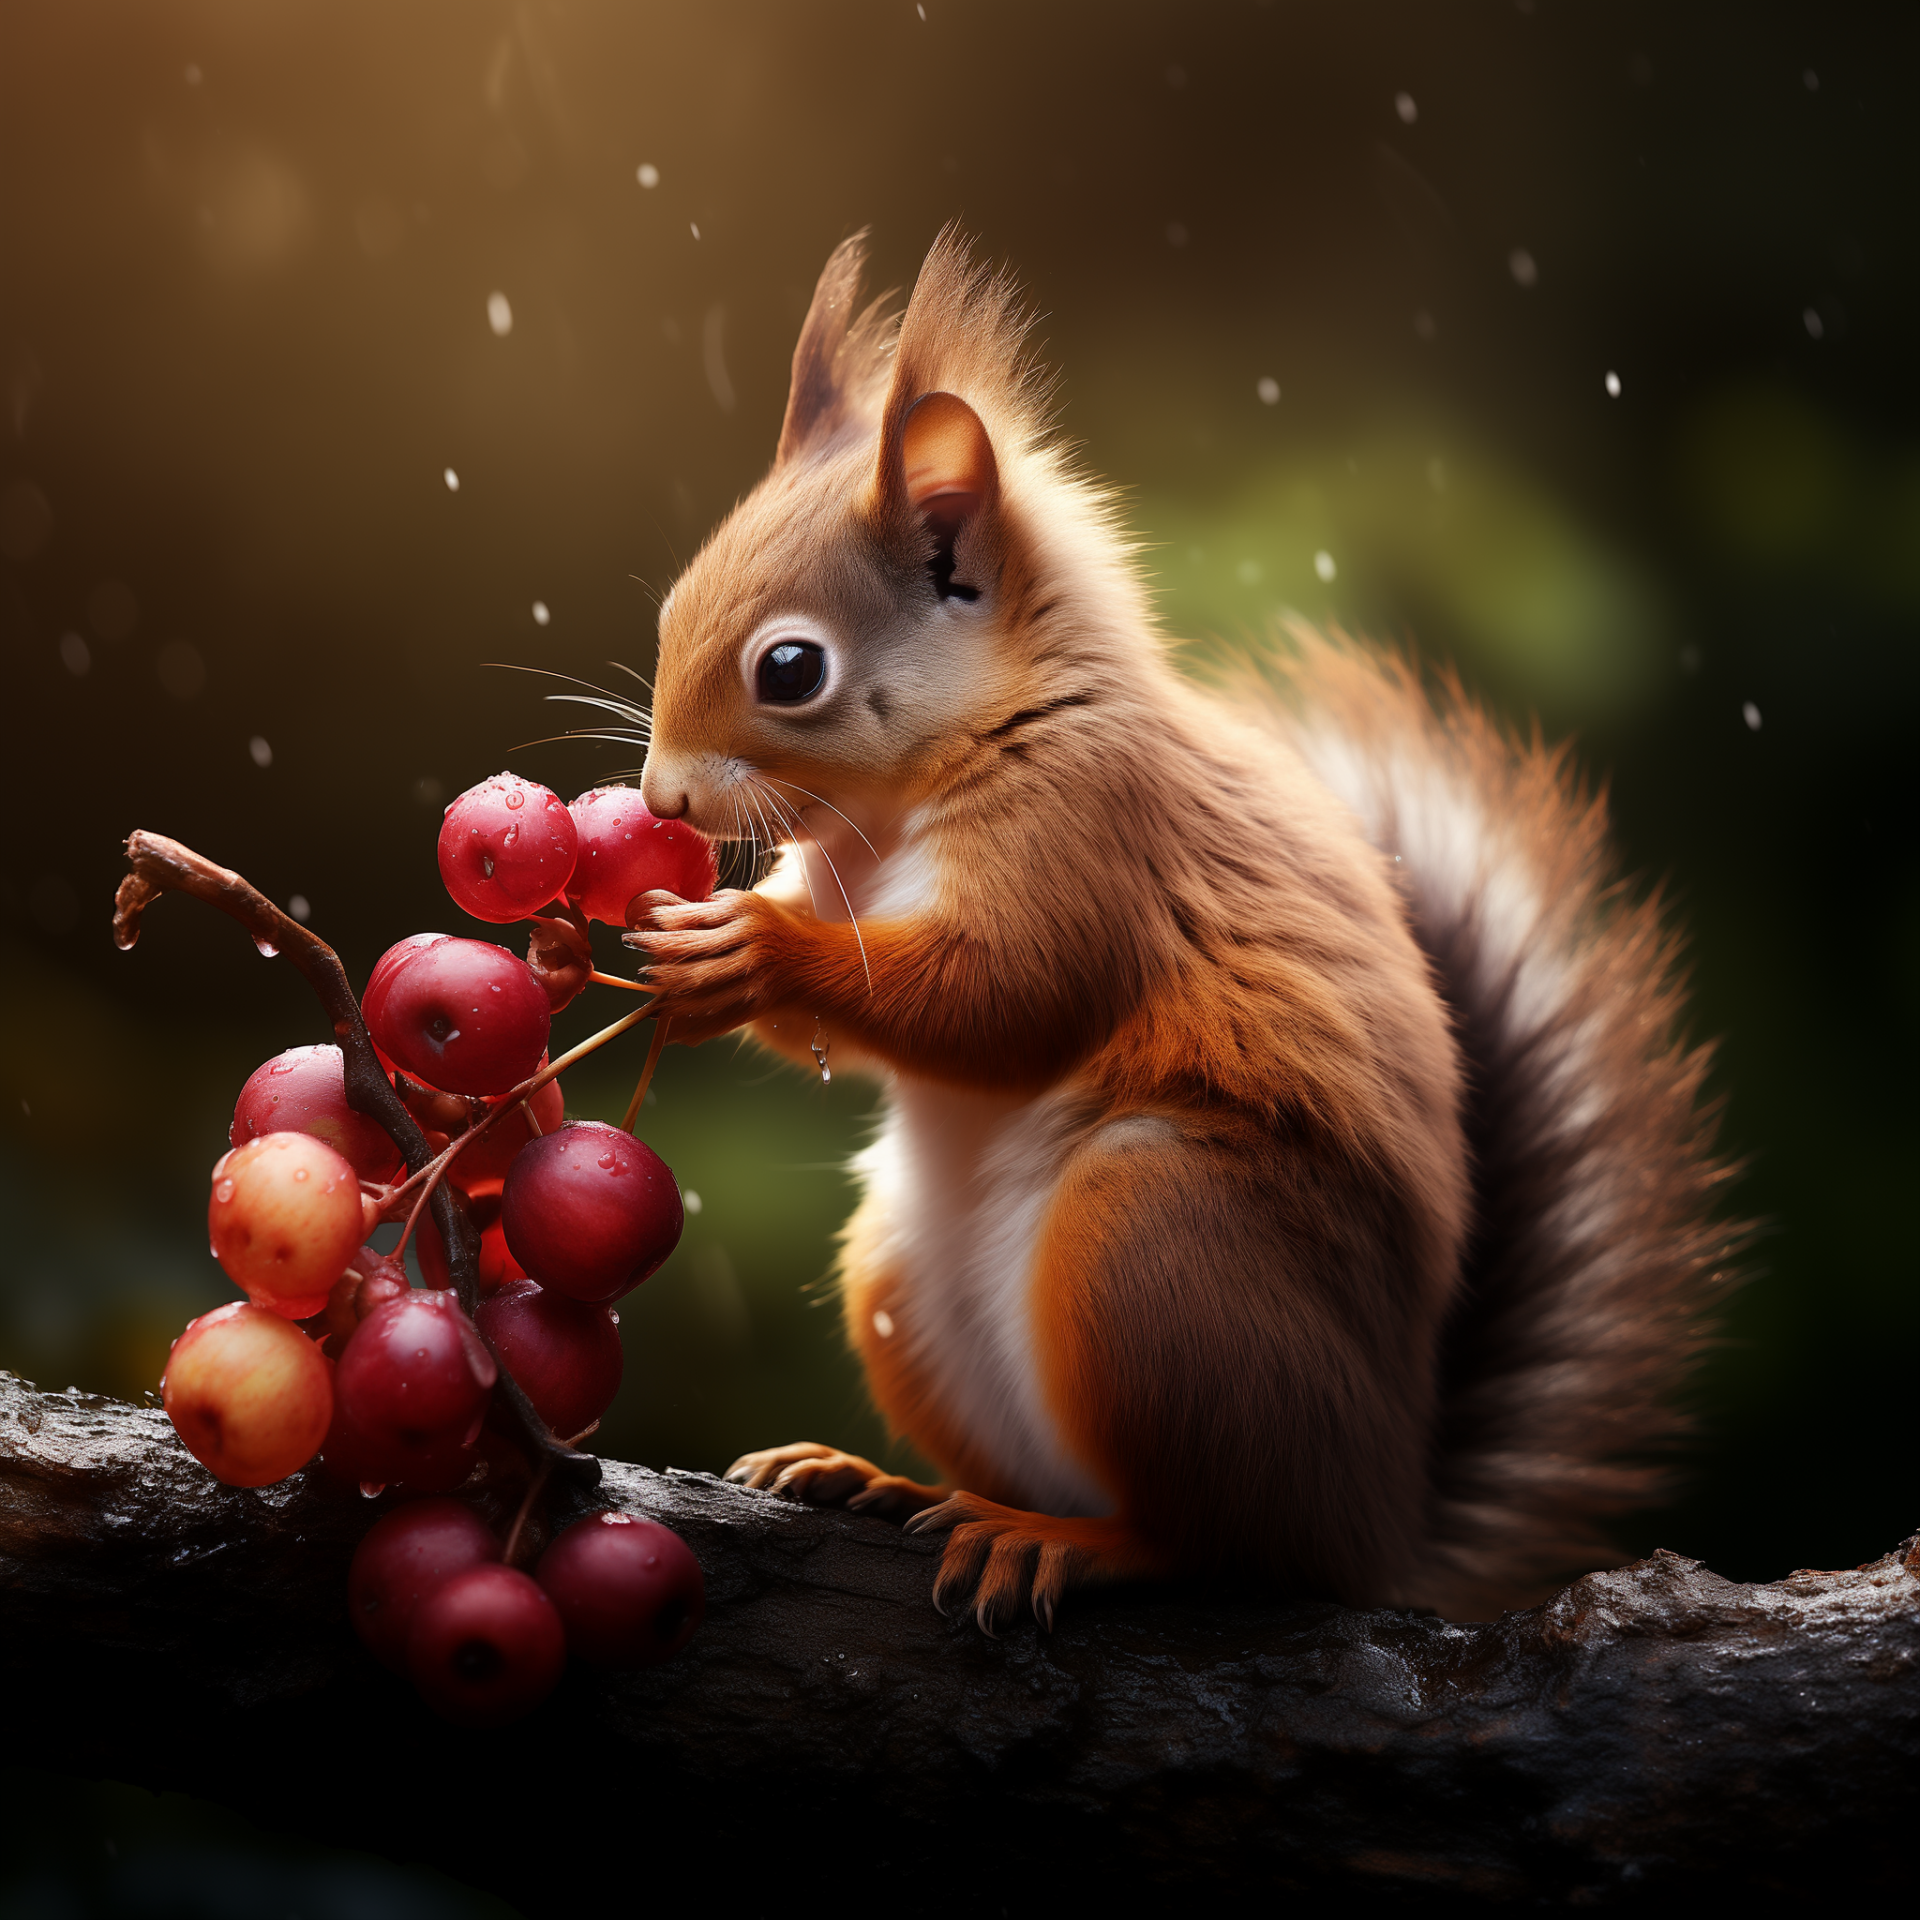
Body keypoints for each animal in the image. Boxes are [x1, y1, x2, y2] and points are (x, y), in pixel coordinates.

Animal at [626, 228, 1733, 1629]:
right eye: (671, 610)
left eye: (789, 669)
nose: (661, 799)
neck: (908, 805)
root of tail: (1379, 1529)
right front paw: (692, 945)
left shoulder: (1093, 839)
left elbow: (1003, 1001)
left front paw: (754, 953)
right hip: (900, 1272)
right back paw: (874, 1480)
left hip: (1155, 1243)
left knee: (1216, 1538)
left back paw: (1070, 1542)